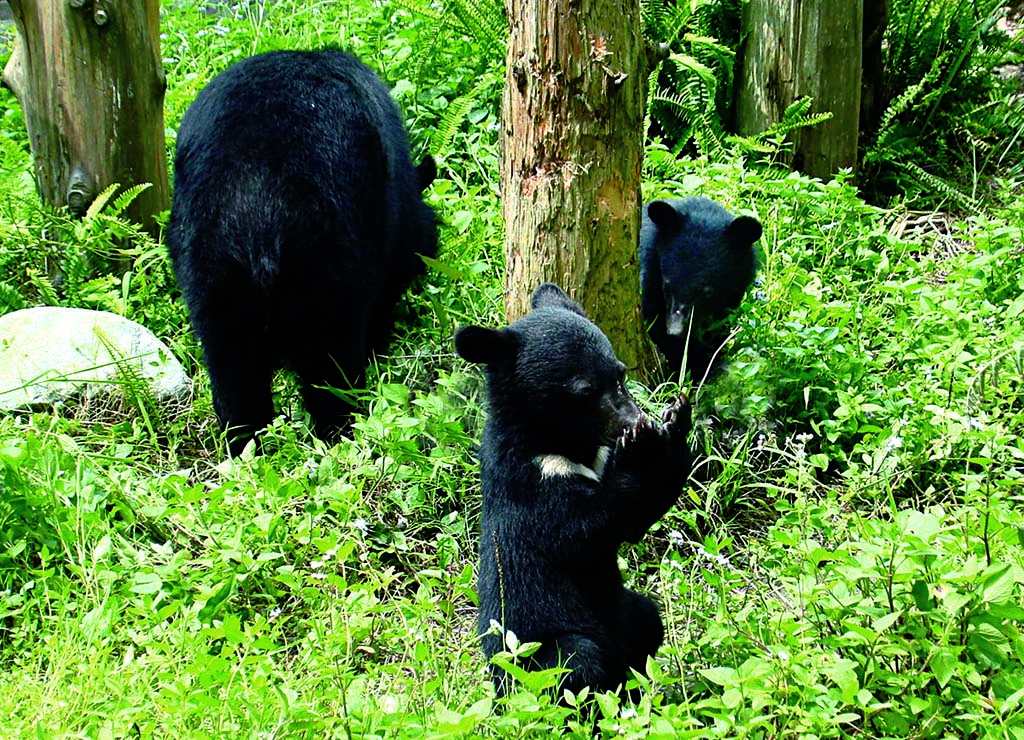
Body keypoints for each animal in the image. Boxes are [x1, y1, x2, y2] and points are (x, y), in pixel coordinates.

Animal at [165, 49, 438, 454]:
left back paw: (245, 447)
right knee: (331, 366)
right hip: (327, 261)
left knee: (233, 370)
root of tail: (257, 199)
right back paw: (340, 435)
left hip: (212, 268)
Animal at [458, 284, 692, 700]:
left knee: (648, 622)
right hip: (534, 657)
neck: (568, 444)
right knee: (575, 663)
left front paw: (675, 419)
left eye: (620, 375)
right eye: (585, 390)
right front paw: (643, 445)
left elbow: (638, 520)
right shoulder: (532, 480)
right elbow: (585, 526)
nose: (632, 420)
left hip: (628, 612)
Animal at [638, 196, 761, 382]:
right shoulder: (650, 273)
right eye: (667, 286)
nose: (675, 330)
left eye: (706, 292)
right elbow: (652, 319)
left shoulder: (733, 294)